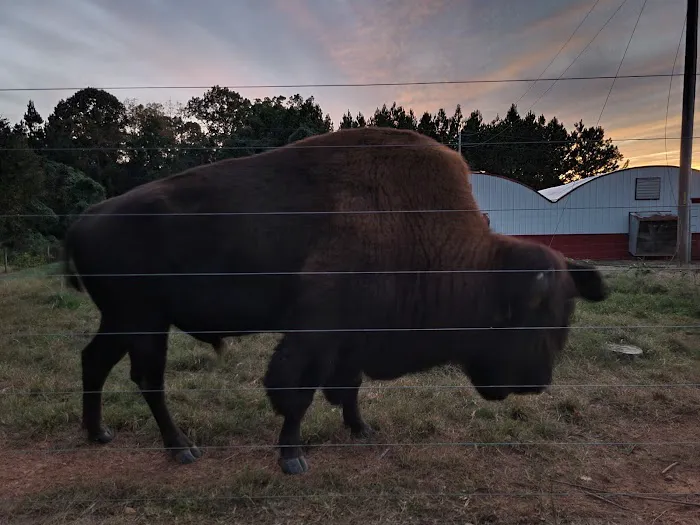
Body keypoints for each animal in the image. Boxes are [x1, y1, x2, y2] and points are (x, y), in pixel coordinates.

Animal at [62, 127, 608, 475]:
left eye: (566, 317)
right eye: (531, 317)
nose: (536, 384)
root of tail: (86, 217)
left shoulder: (350, 339)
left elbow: (347, 388)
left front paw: (362, 429)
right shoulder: (314, 335)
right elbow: (296, 393)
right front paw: (292, 457)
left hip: (123, 321)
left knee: (94, 361)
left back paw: (98, 433)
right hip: (144, 321)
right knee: (147, 379)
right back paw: (181, 449)